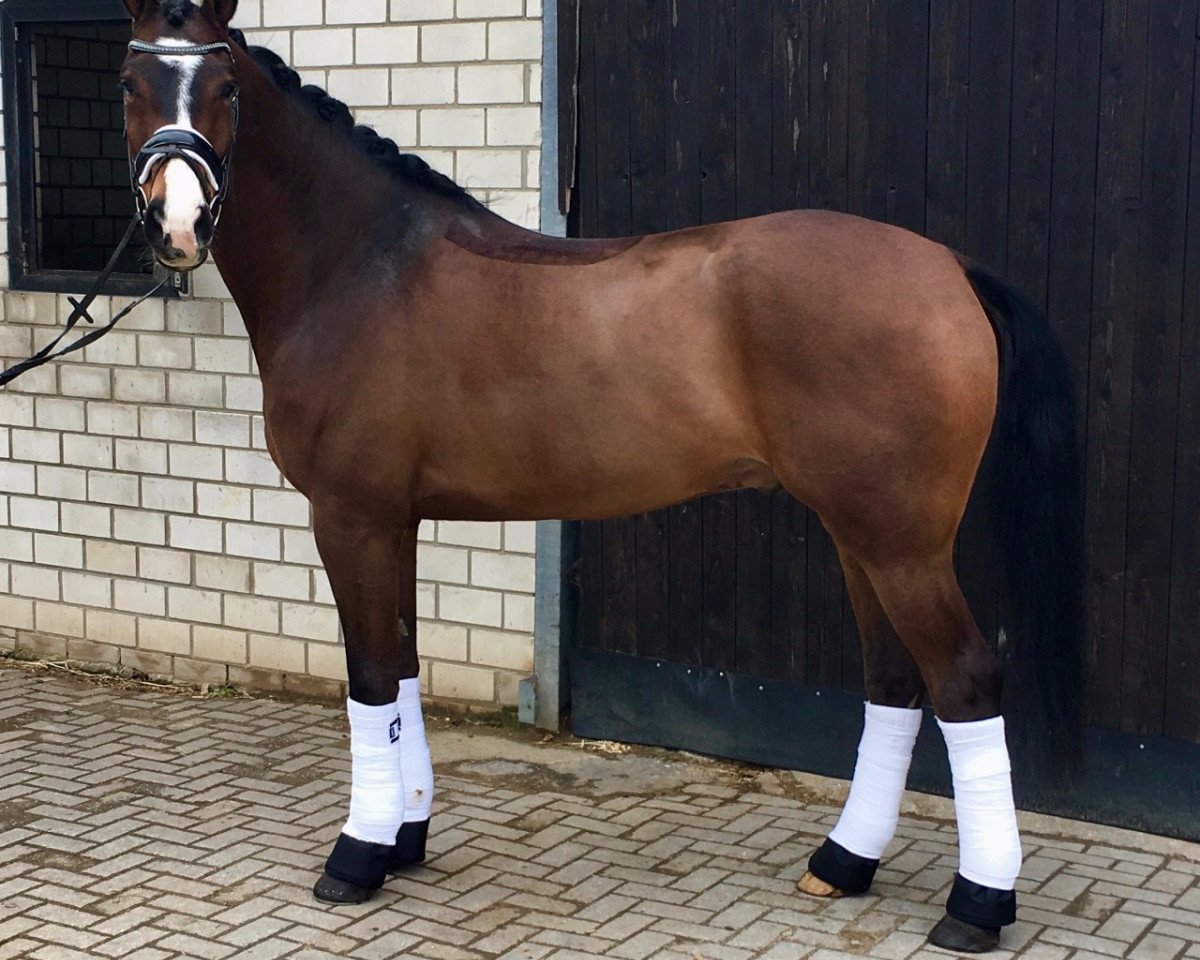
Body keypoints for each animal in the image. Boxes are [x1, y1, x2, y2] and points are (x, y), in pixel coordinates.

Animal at [116, 0, 1085, 952]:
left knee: (965, 681)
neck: (359, 264)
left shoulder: (349, 517)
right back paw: (843, 864)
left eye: (226, 86)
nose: (176, 224)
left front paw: (357, 857)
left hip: (901, 543)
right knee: (894, 682)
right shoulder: (396, 520)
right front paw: (406, 836)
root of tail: (947, 266)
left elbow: (370, 680)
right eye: (131, 81)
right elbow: (403, 667)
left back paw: (977, 904)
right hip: (861, 536)